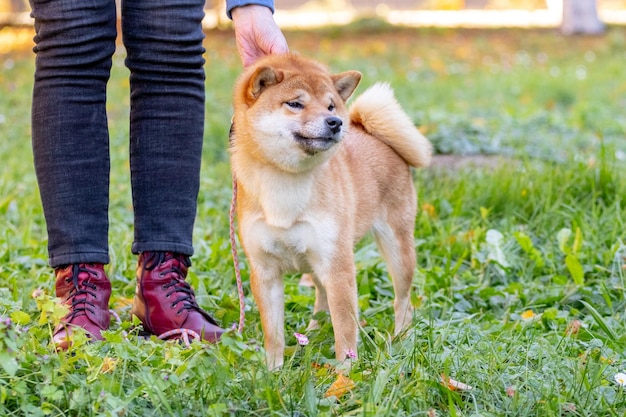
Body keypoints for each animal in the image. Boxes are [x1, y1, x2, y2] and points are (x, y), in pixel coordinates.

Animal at [228, 52, 428, 368]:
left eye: (331, 105)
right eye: (295, 104)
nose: (335, 122)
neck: (286, 182)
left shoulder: (338, 267)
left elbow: (345, 331)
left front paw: (345, 372)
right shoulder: (265, 271)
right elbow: (273, 334)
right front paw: (272, 371)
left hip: (397, 253)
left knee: (403, 301)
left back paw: (401, 338)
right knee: (321, 301)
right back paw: (310, 334)